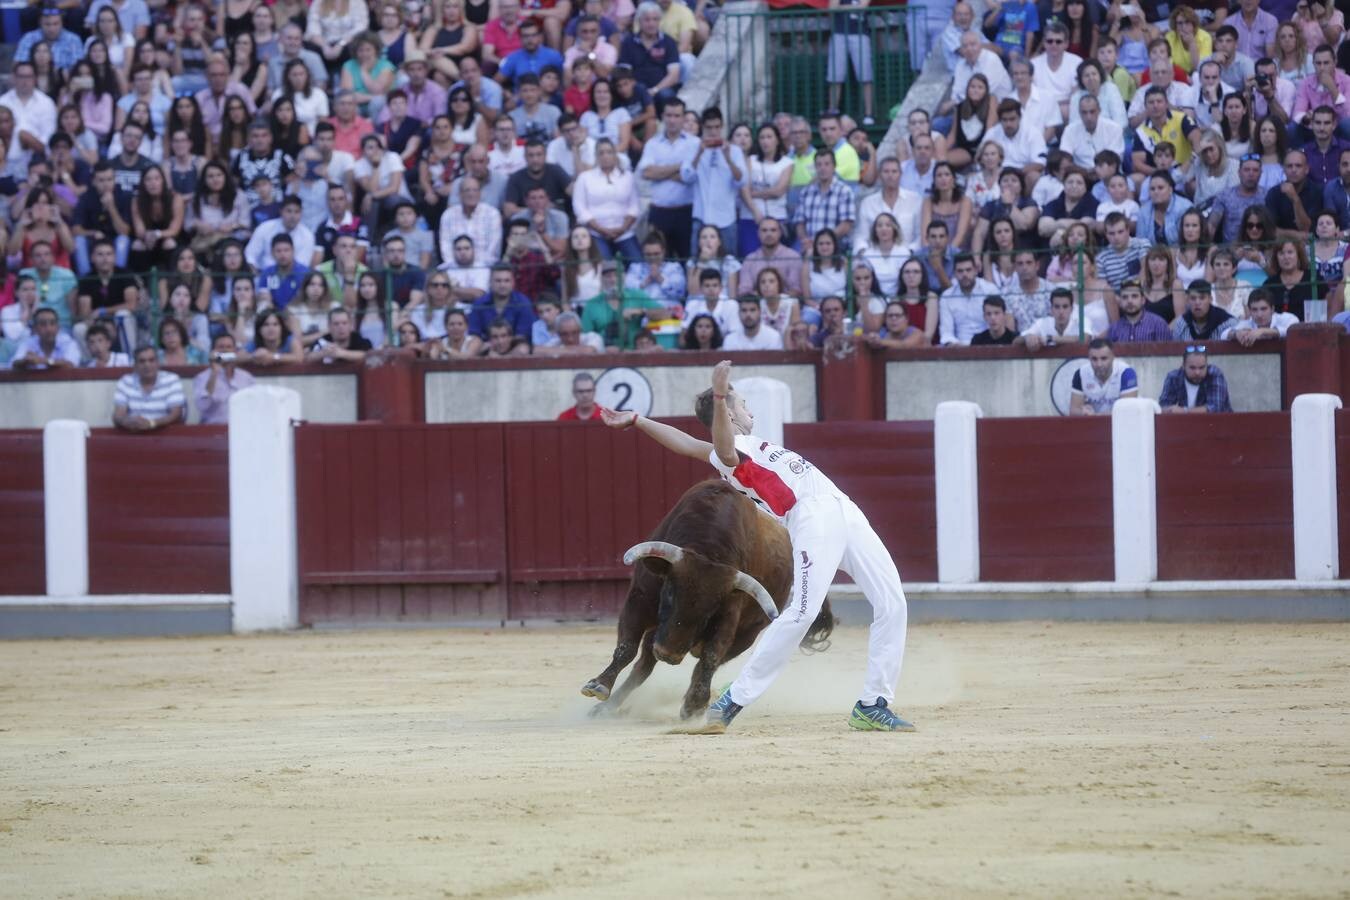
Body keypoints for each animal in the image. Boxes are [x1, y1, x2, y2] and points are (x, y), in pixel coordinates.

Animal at [580, 483, 831, 723]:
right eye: (669, 592)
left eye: (710, 611)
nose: (668, 654)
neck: (708, 551)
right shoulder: (639, 600)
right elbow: (626, 648)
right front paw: (599, 685)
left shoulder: (729, 613)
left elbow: (710, 657)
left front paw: (695, 704)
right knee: (644, 664)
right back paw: (606, 708)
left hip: (747, 635)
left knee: (702, 662)